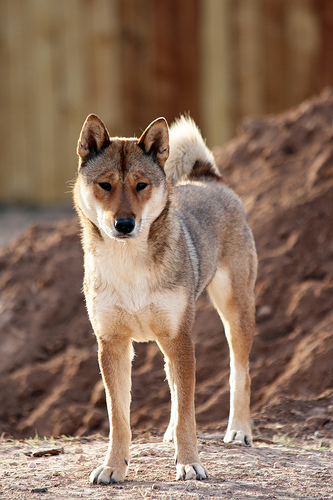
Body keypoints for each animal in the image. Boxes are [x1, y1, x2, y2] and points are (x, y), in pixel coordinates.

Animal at [74, 114, 256, 484]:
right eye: (105, 185)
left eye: (141, 185)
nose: (124, 224)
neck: (129, 264)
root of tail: (207, 179)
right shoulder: (113, 344)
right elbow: (119, 417)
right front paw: (113, 467)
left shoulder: (178, 338)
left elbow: (189, 412)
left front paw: (189, 463)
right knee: (174, 385)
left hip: (234, 314)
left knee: (238, 372)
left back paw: (239, 430)